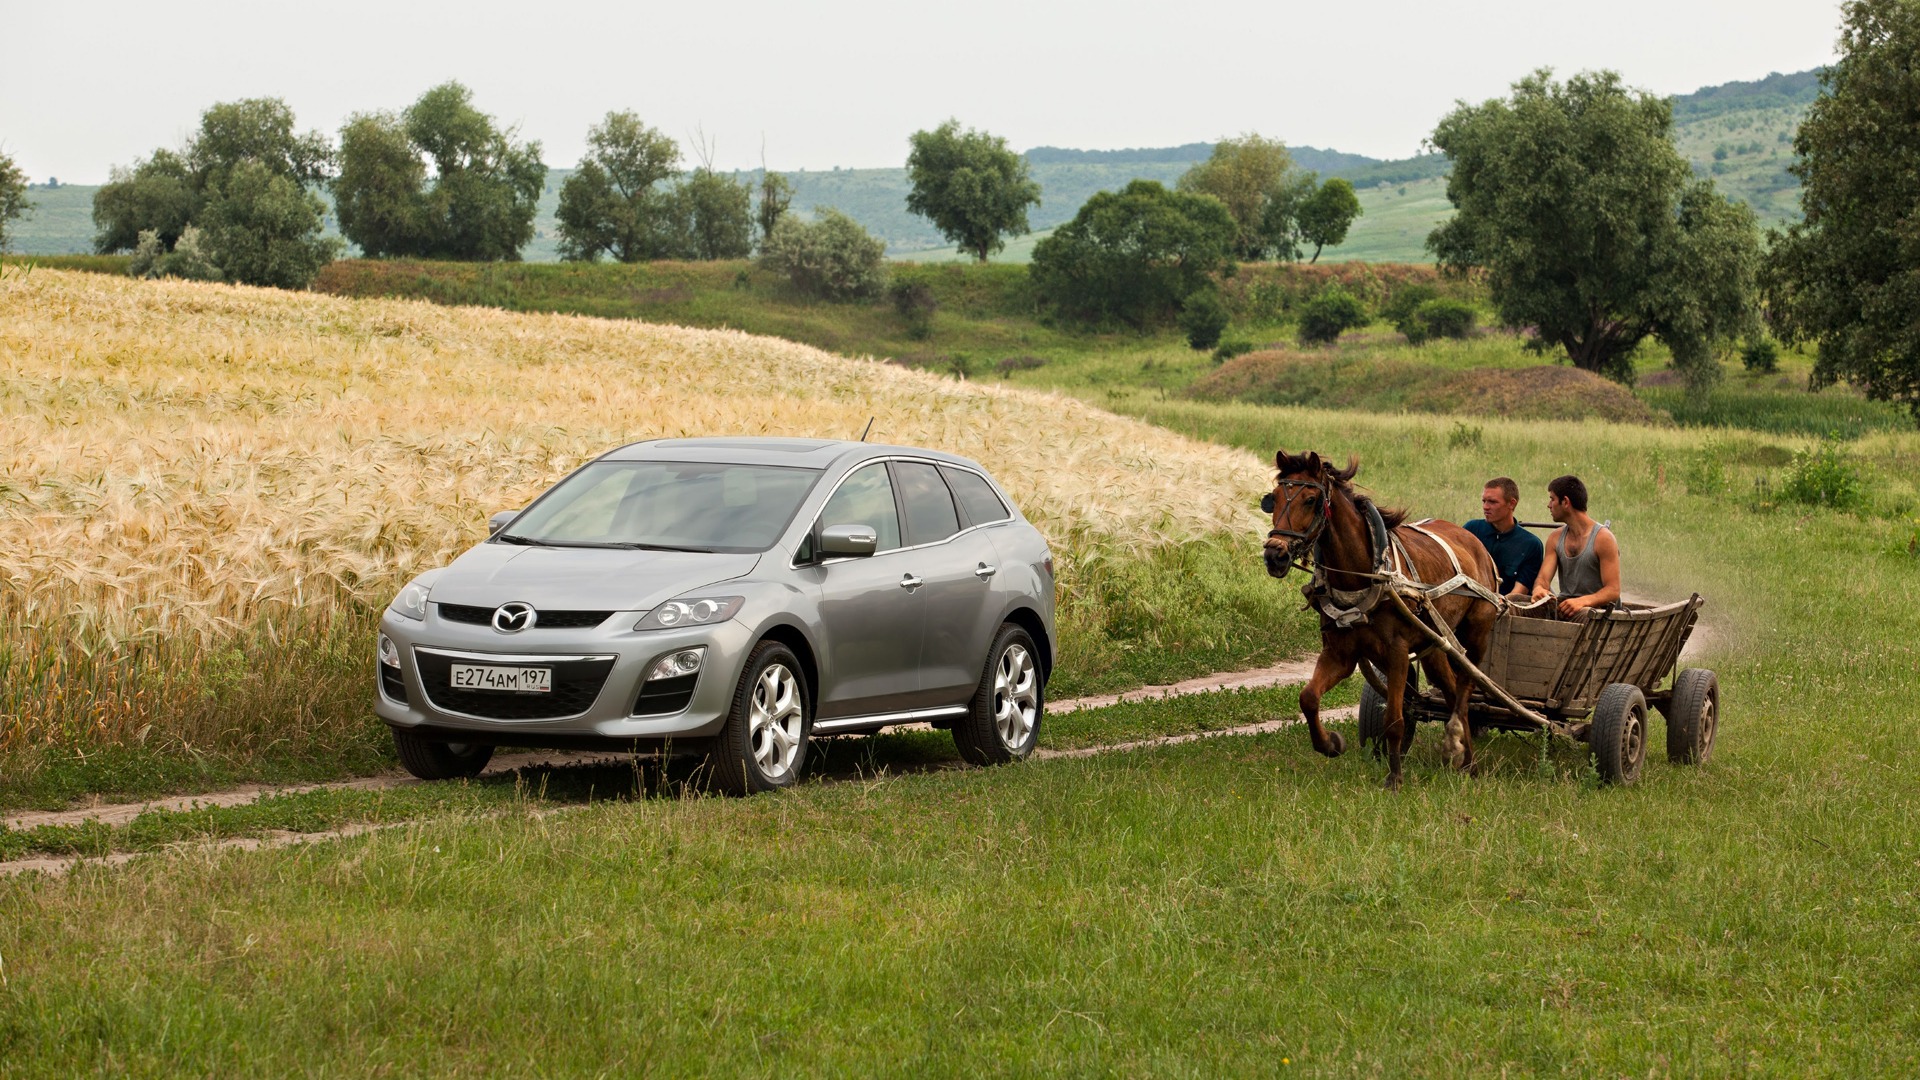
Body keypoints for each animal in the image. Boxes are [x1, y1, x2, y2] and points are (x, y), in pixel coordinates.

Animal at [1267, 449, 1505, 787]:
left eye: (1311, 500)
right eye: (1272, 498)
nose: (1274, 554)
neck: (1367, 574)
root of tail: (1476, 544)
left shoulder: (1397, 653)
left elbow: (1394, 719)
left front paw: (1394, 778)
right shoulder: (1339, 653)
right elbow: (1308, 698)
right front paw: (1330, 743)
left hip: (1477, 633)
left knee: (1466, 687)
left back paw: (1455, 740)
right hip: (1435, 646)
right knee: (1450, 689)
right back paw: (1467, 762)